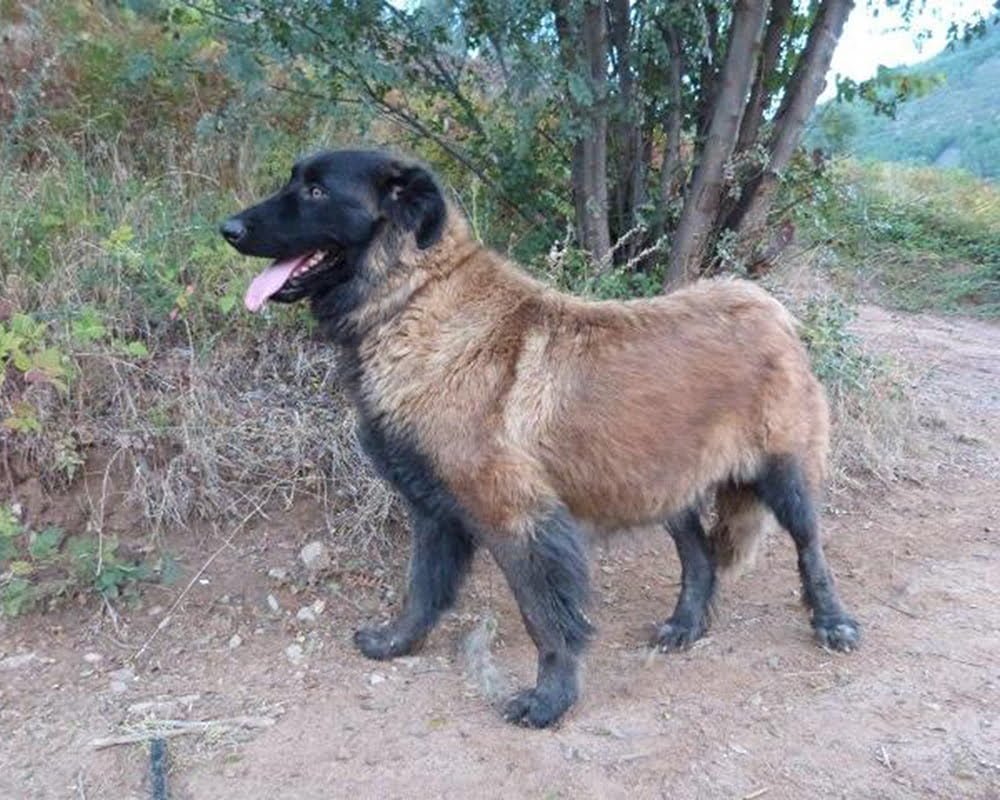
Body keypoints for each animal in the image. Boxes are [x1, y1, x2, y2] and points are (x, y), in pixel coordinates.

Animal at [221, 150, 860, 732]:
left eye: (317, 191)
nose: (227, 228)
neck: (416, 298)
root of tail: (769, 307)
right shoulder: (435, 511)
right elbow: (422, 588)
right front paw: (397, 642)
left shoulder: (519, 520)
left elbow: (545, 618)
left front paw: (550, 699)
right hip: (657, 476)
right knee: (699, 555)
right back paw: (685, 624)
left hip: (782, 474)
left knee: (811, 549)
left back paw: (832, 621)